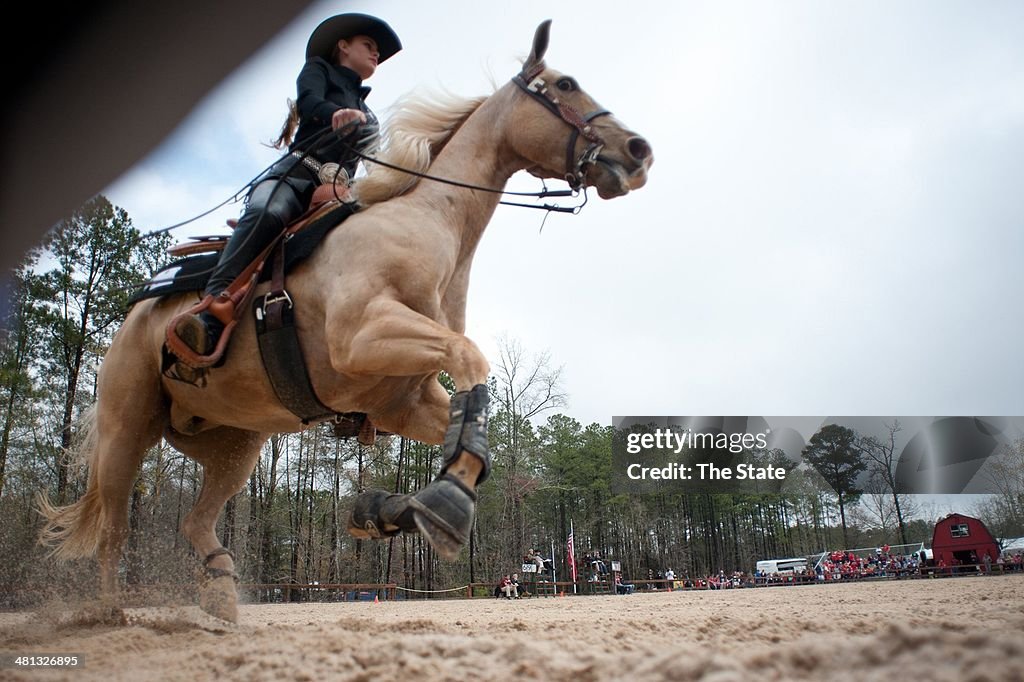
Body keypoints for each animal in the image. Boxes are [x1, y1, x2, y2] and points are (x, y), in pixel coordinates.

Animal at [39, 21, 651, 618]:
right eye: (566, 84)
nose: (638, 150)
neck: (425, 223)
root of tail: (135, 317)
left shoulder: (403, 398)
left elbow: (473, 435)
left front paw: (384, 508)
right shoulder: (363, 338)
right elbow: (471, 359)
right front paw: (445, 503)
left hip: (234, 447)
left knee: (194, 521)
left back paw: (219, 595)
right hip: (126, 431)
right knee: (114, 530)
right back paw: (113, 613)